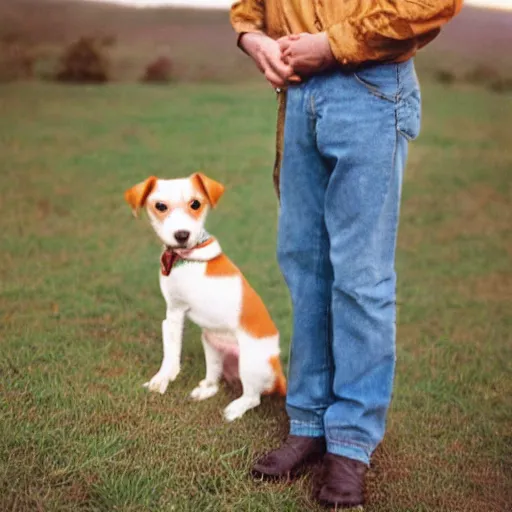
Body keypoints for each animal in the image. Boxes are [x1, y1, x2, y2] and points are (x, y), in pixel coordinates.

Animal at [122, 172, 286, 420]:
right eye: (160, 206)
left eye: (196, 204)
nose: (182, 235)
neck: (184, 257)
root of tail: (279, 373)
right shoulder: (171, 313)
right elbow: (170, 347)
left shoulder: (176, 312)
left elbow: (171, 352)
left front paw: (161, 380)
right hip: (212, 345)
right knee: (215, 379)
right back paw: (205, 389)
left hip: (250, 363)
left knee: (253, 397)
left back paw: (234, 409)